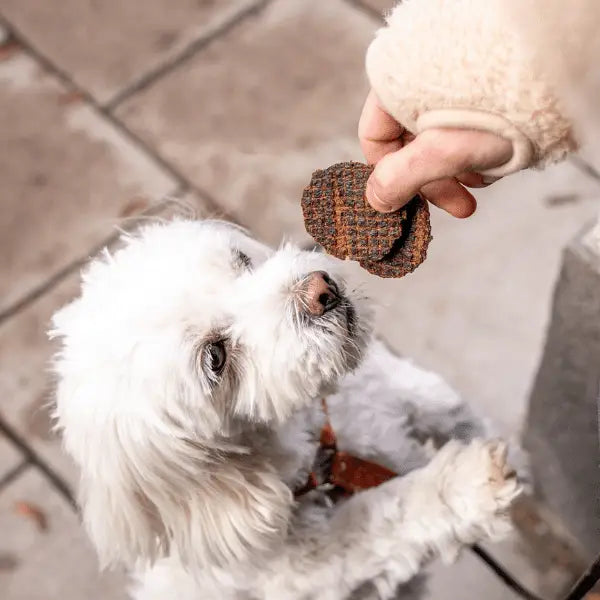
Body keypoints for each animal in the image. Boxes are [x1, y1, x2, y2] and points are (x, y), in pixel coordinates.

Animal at [50, 220, 520, 600]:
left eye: (241, 260)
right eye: (215, 358)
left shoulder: (386, 389)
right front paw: (467, 483)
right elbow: (386, 512)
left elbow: (447, 406)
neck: (321, 447)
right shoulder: (312, 562)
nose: (320, 289)